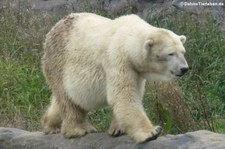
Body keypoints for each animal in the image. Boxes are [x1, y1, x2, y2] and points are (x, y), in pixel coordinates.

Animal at [41, 13, 188, 143]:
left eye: (183, 52)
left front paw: (117, 129)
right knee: (67, 99)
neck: (127, 38)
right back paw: (77, 130)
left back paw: (50, 125)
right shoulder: (117, 59)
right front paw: (151, 132)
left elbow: (131, 94)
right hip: (58, 63)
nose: (184, 68)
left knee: (63, 100)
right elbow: (123, 95)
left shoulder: (136, 70)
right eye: (170, 53)